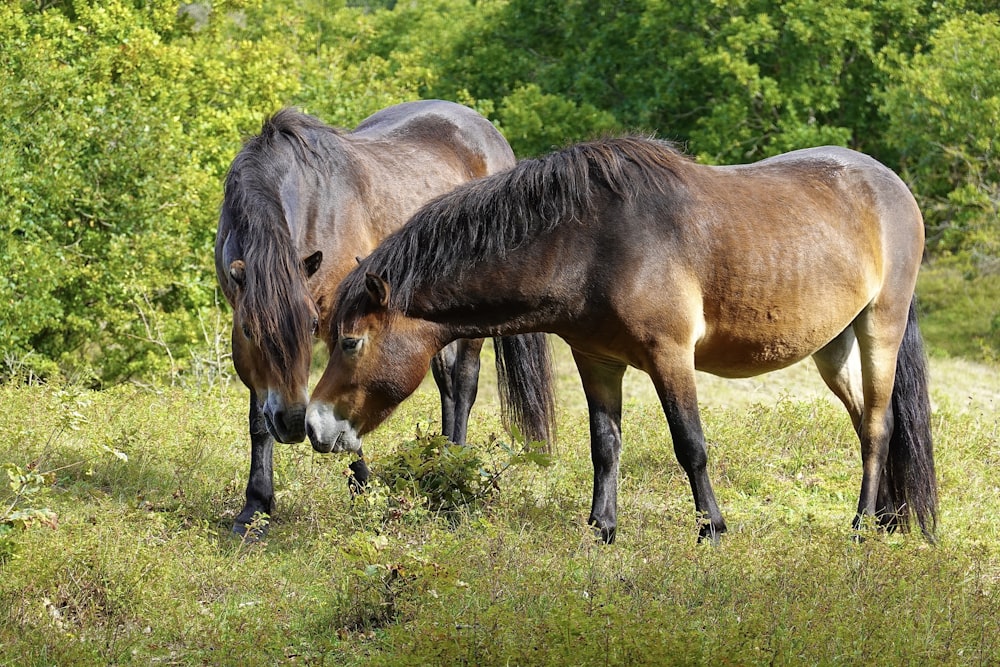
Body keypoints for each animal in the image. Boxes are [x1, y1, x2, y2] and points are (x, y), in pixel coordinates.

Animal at [215, 99, 544, 536]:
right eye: (250, 331)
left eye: (309, 326)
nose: (292, 422)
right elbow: (259, 419)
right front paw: (255, 509)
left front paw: (365, 493)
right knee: (446, 383)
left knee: (463, 384)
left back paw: (453, 480)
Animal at [306, 134, 936, 544]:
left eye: (351, 341)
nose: (314, 425)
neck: (592, 243)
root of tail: (890, 185)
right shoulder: (597, 360)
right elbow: (604, 445)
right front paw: (602, 528)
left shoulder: (669, 356)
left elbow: (691, 445)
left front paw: (712, 530)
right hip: (834, 347)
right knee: (866, 423)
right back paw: (886, 516)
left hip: (879, 326)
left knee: (878, 426)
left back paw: (861, 527)